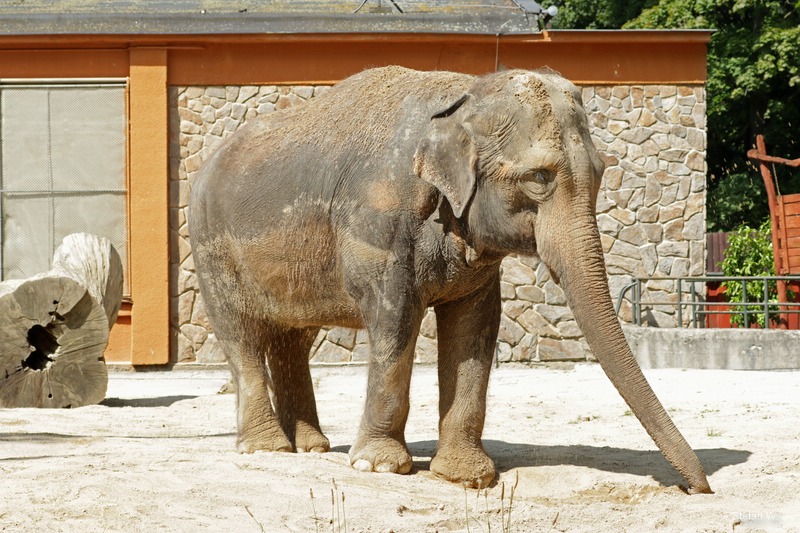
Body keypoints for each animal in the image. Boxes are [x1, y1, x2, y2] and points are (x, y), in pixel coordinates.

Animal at [188, 66, 712, 493]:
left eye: (602, 173)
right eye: (539, 178)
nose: (695, 488)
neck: (463, 94)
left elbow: (474, 327)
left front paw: (465, 478)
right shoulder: (381, 227)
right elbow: (395, 322)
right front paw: (379, 467)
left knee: (294, 338)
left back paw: (312, 447)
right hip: (211, 245)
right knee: (241, 335)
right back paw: (266, 448)